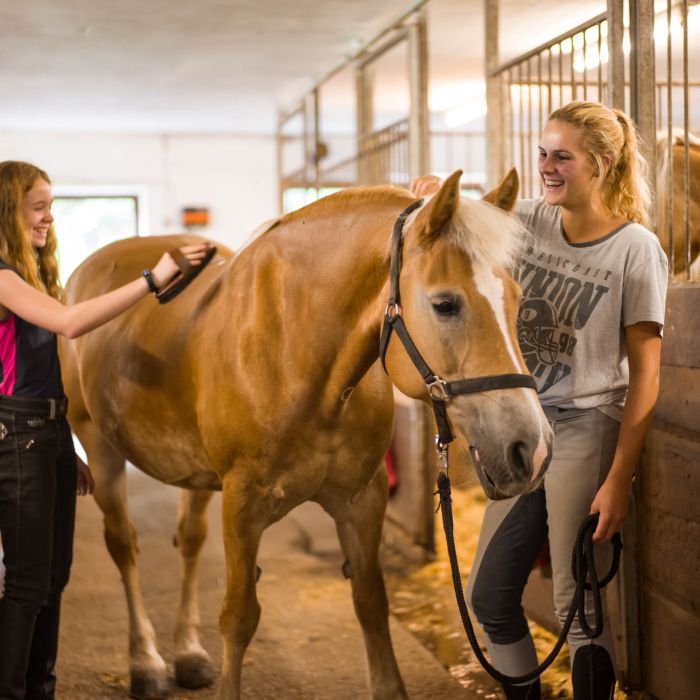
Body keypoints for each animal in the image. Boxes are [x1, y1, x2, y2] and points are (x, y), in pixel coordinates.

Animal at [60, 170, 553, 700]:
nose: (532, 448)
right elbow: (238, 617)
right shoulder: (242, 504)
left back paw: (188, 654)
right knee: (124, 545)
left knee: (189, 541)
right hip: (100, 448)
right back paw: (146, 662)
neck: (296, 352)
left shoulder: (363, 500)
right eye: (445, 304)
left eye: (516, 299)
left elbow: (371, 602)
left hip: (193, 471)